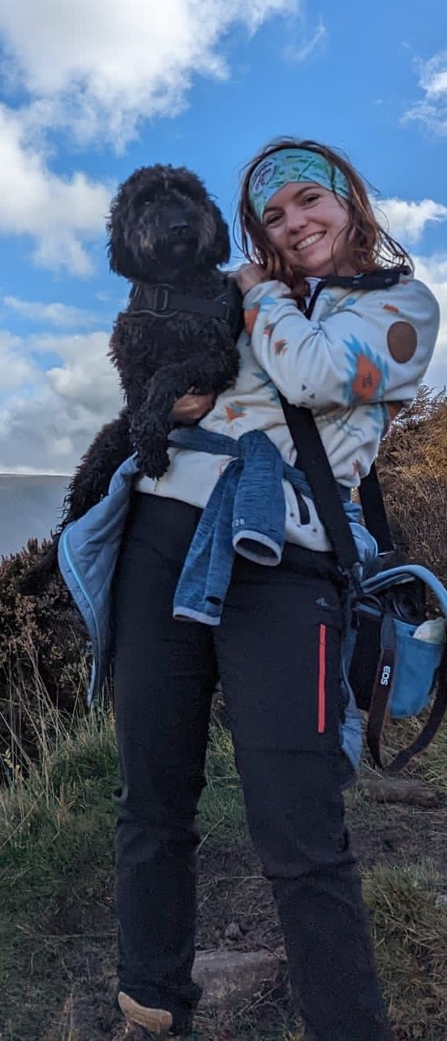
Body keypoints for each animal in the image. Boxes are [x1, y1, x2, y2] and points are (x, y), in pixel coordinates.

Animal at [20, 166, 240, 599]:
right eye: (148, 200)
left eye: (189, 194)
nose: (180, 225)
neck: (172, 289)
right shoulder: (131, 358)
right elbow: (142, 397)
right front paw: (149, 437)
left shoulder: (218, 356)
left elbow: (169, 375)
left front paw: (154, 435)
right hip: (97, 460)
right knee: (71, 521)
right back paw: (38, 573)